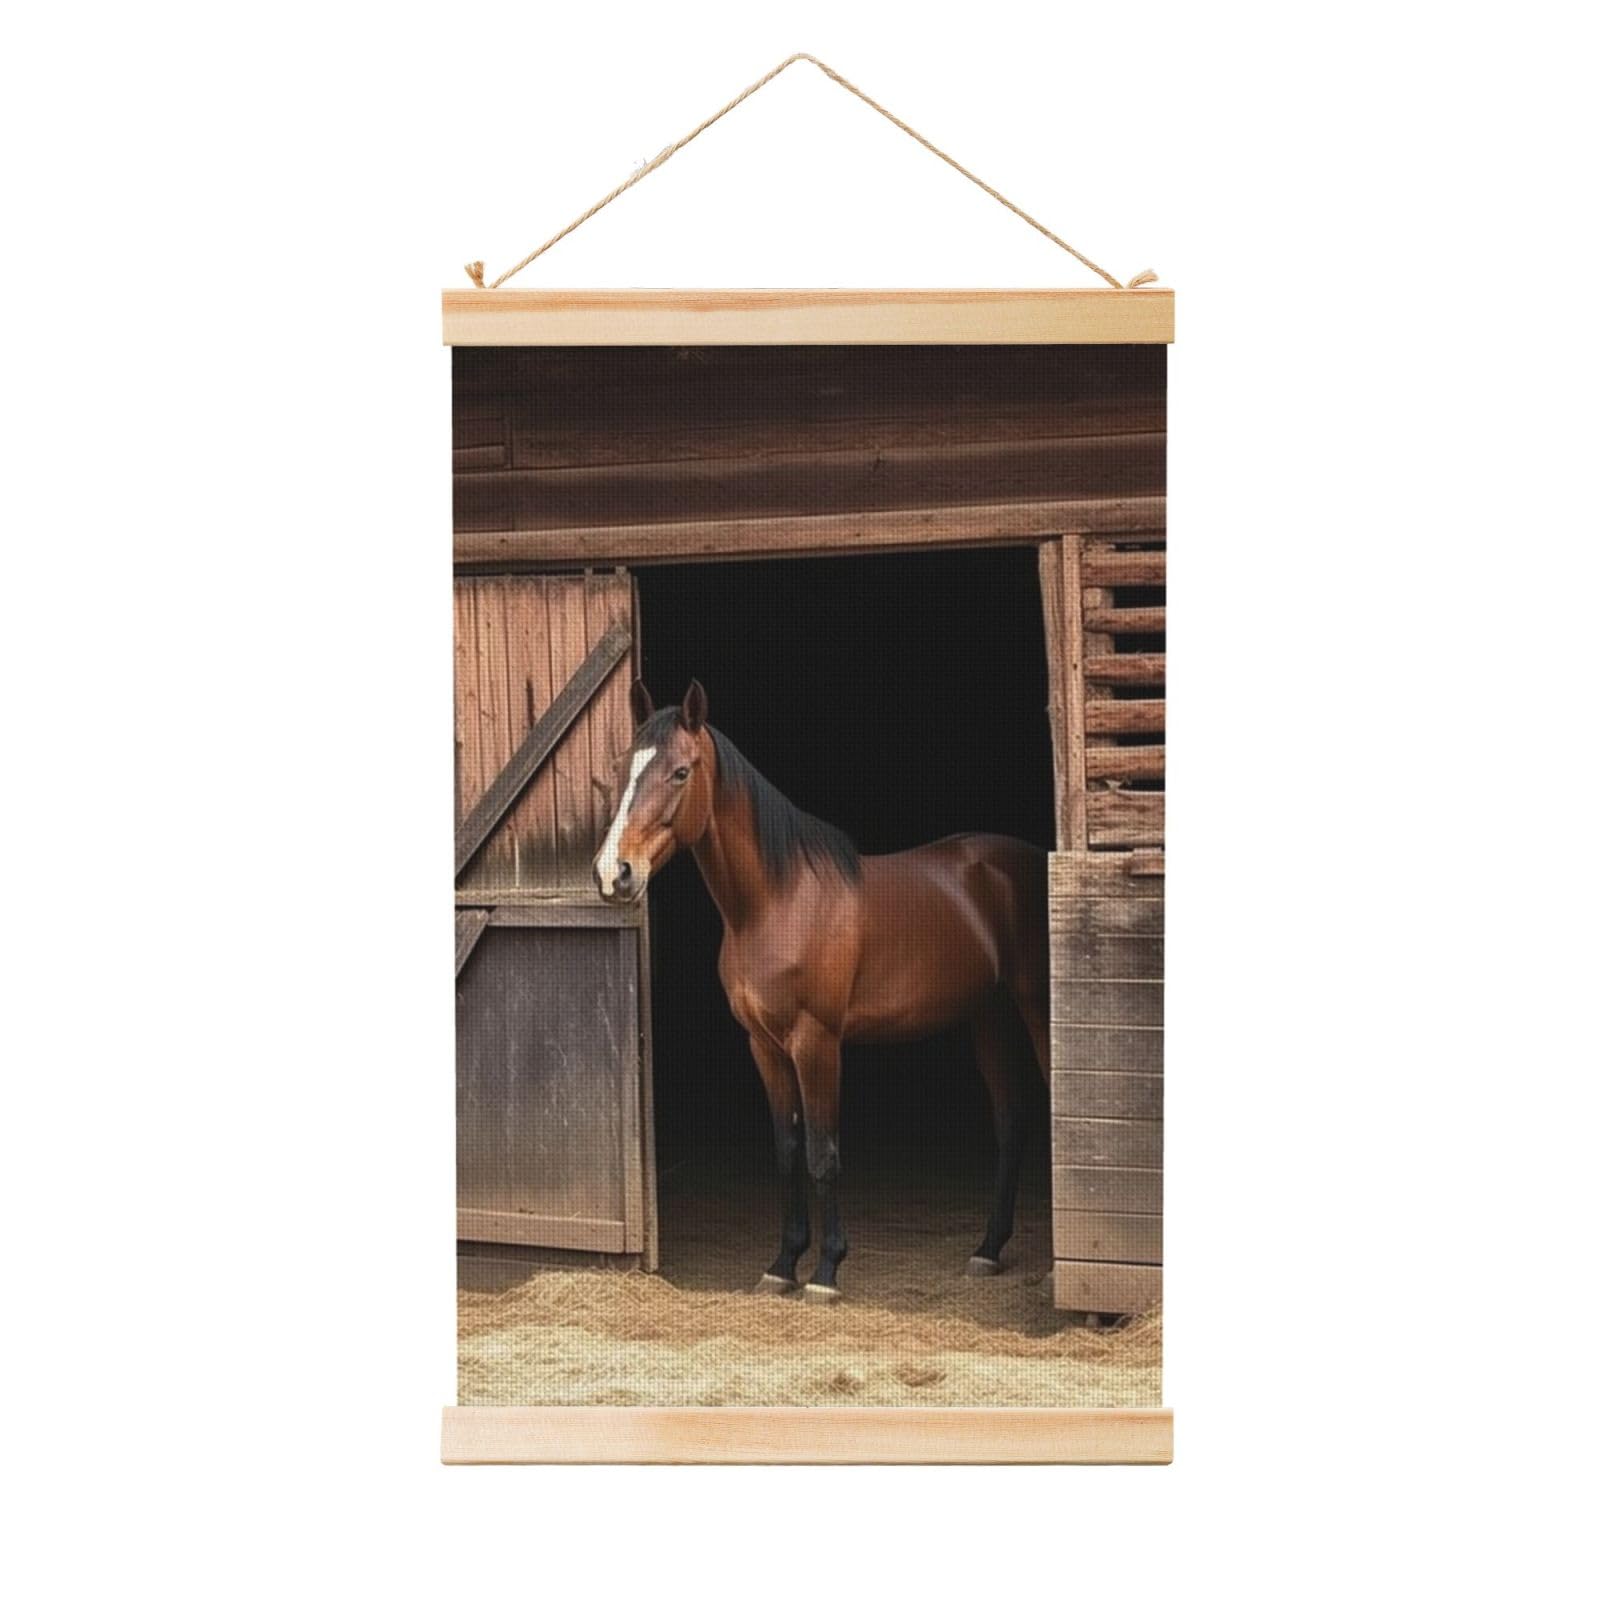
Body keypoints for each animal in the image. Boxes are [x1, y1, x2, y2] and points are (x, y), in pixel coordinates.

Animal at [593, 679, 1050, 1301]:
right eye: (623, 769)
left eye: (681, 772)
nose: (613, 873)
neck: (778, 903)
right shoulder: (763, 1045)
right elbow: (787, 1152)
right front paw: (783, 1264)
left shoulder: (817, 1042)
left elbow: (821, 1152)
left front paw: (827, 1272)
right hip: (989, 1017)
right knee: (1010, 1121)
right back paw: (987, 1249)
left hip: (1036, 1009)